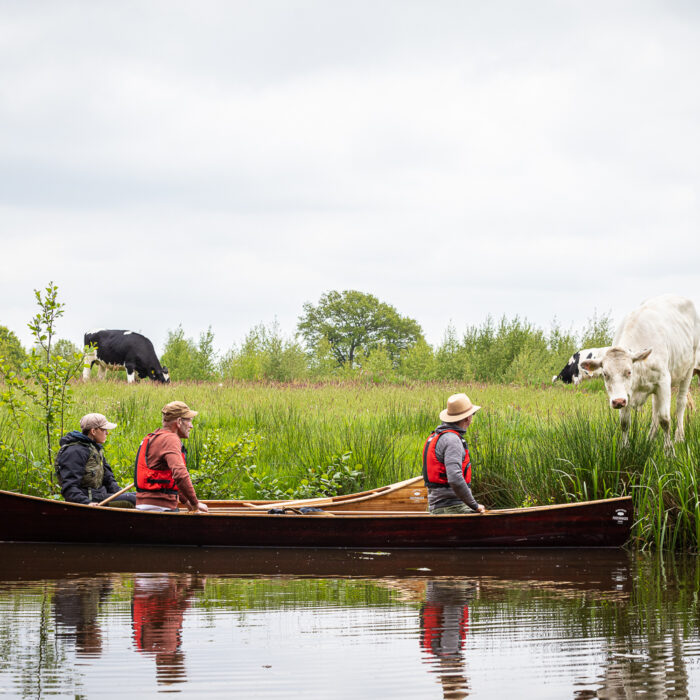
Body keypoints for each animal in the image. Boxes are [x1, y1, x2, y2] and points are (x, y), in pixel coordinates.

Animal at [580, 292, 700, 452]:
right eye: (605, 374)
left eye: (629, 372)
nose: (618, 401)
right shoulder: (627, 394)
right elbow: (625, 422)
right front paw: (624, 449)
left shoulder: (663, 381)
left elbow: (665, 419)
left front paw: (669, 451)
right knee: (655, 410)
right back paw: (650, 439)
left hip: (688, 370)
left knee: (681, 403)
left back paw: (679, 437)